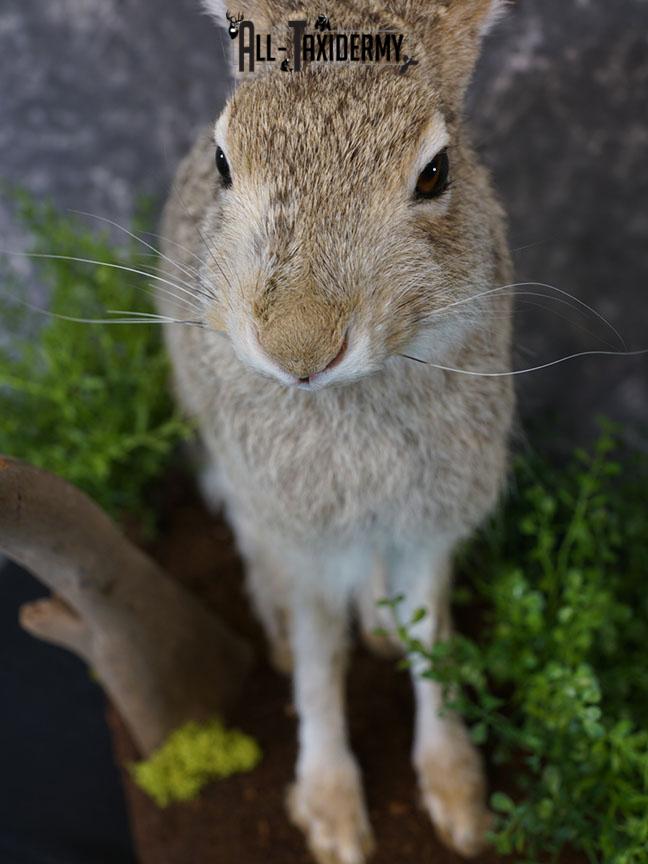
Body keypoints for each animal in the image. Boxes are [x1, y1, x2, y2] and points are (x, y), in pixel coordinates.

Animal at [156, 2, 514, 862]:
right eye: (224, 162)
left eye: (435, 173)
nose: (299, 348)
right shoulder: (304, 539)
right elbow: (320, 669)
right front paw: (331, 816)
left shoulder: (428, 530)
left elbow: (434, 644)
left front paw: (460, 800)